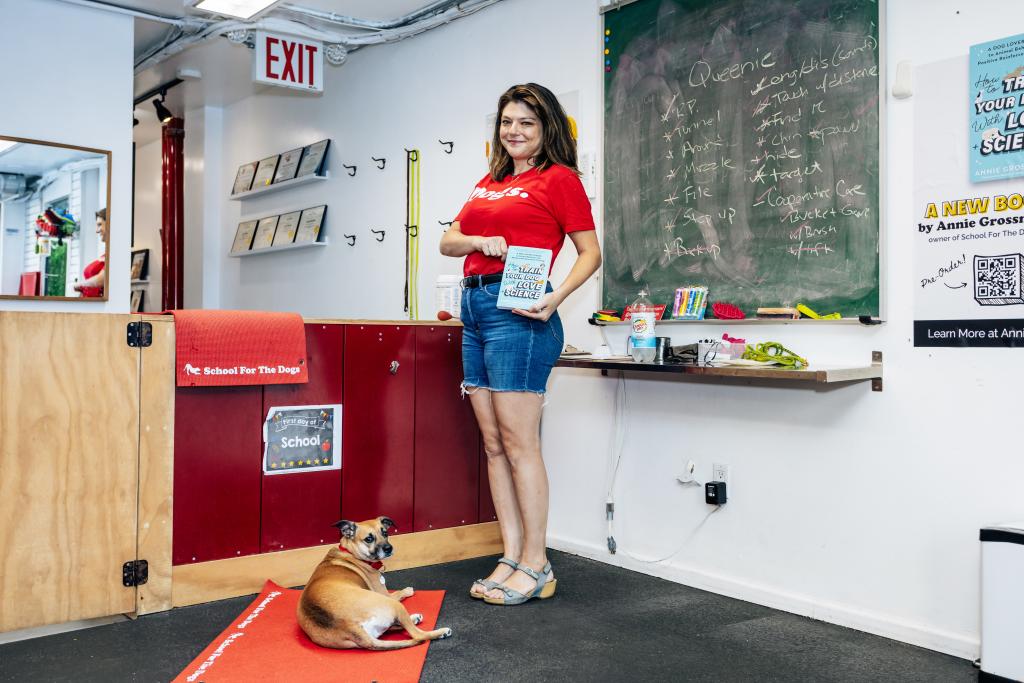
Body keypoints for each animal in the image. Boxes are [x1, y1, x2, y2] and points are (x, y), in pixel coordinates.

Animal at [294, 518, 450, 651]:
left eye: (385, 533)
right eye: (368, 539)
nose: (388, 548)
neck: (350, 552)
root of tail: (349, 626)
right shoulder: (385, 593)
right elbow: (396, 593)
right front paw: (406, 590)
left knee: (394, 627)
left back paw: (415, 618)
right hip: (392, 604)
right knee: (417, 634)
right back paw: (441, 632)